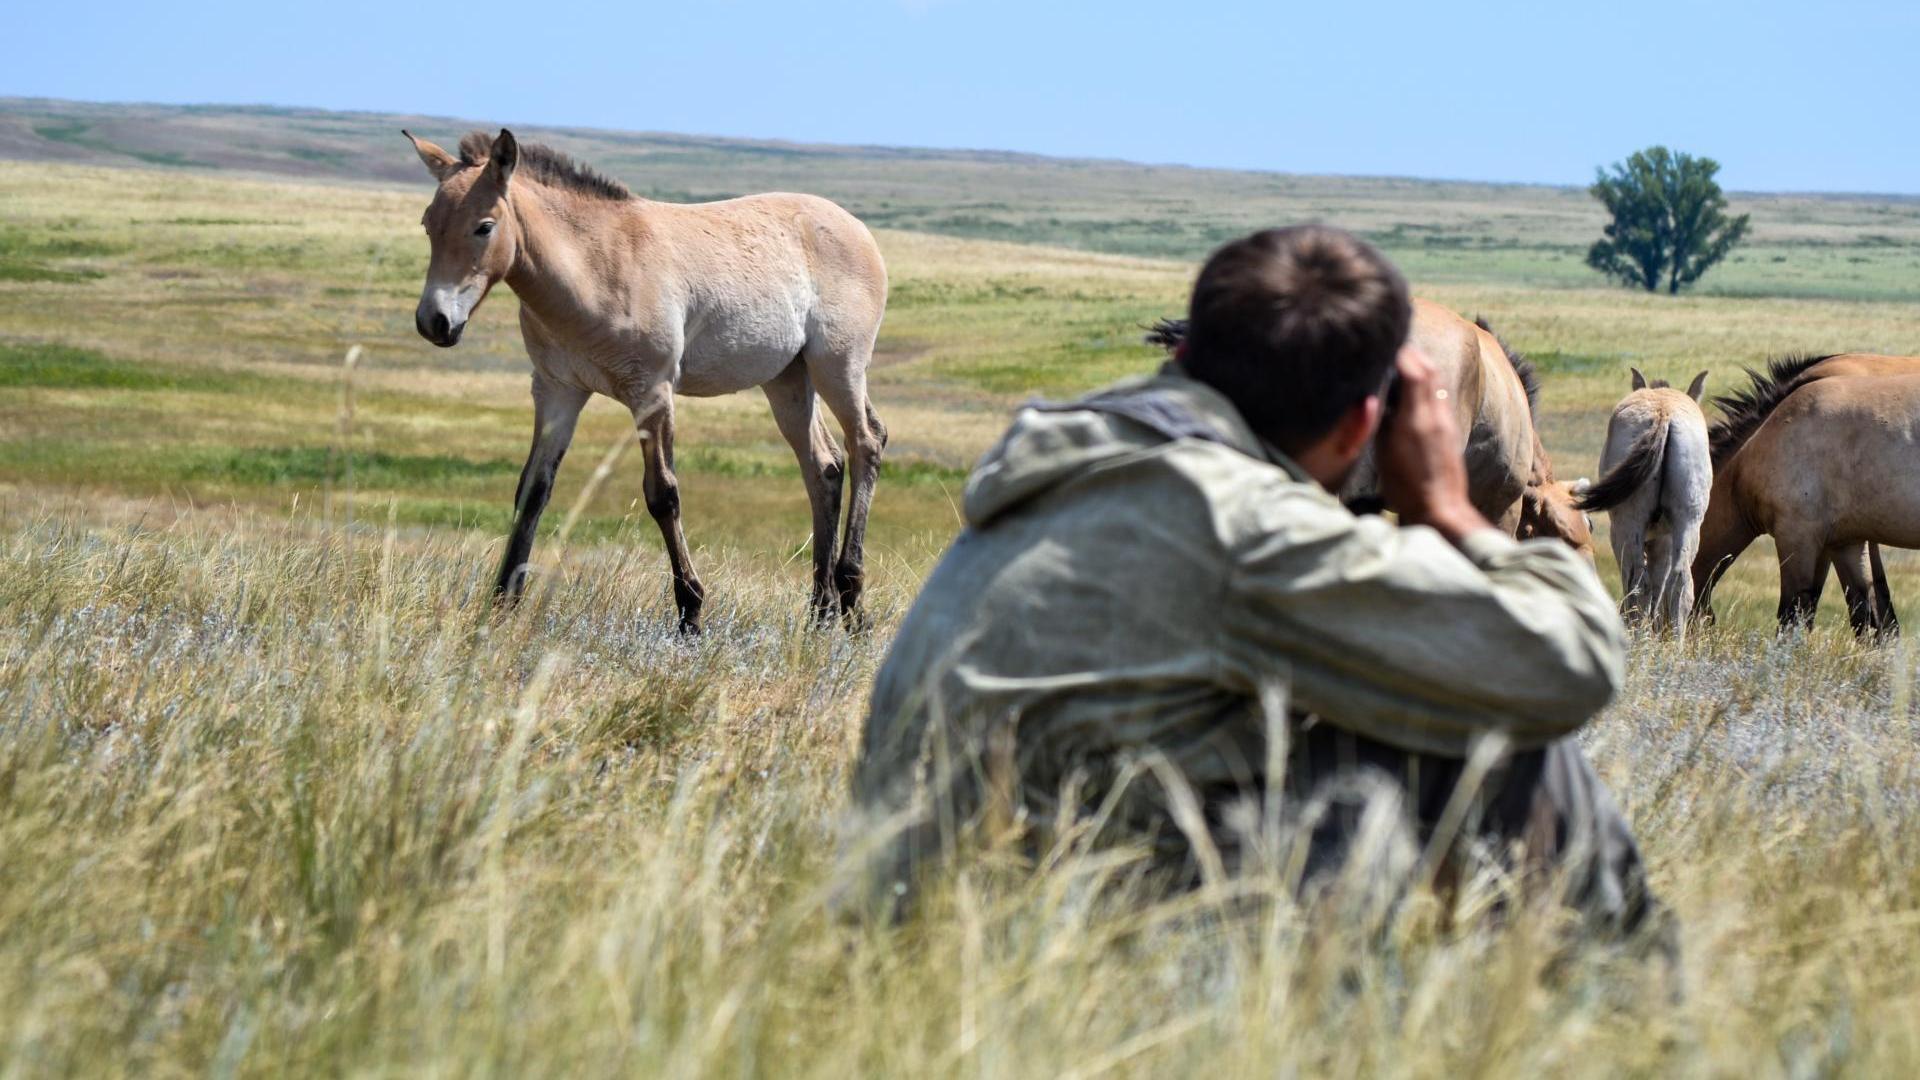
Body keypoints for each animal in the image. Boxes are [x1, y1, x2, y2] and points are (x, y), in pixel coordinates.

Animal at [404, 129, 889, 632]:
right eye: (428, 224)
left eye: (484, 226)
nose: (434, 322)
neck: (596, 265)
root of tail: (856, 227)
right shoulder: (558, 392)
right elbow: (533, 491)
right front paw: (502, 602)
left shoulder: (652, 394)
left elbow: (663, 495)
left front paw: (690, 612)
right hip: (787, 379)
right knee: (824, 466)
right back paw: (820, 611)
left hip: (838, 365)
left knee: (866, 442)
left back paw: (851, 598)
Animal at [1574, 369, 1712, 637]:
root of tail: (1664, 413)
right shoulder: (1664, 540)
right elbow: (1661, 586)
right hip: (1688, 523)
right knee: (1680, 583)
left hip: (1628, 526)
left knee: (1638, 581)